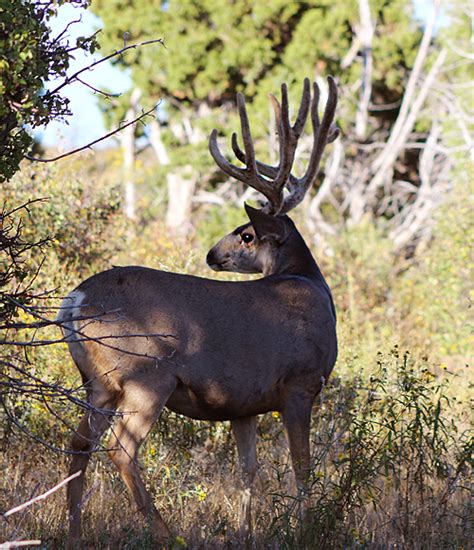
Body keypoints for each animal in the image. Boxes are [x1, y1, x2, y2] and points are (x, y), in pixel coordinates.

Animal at [57, 76, 338, 548]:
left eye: (245, 234)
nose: (210, 254)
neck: (308, 285)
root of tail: (74, 300)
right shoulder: (299, 385)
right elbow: (302, 468)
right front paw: (308, 529)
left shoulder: (243, 404)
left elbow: (248, 470)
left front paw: (245, 532)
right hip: (146, 375)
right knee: (120, 449)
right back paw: (166, 533)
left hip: (97, 383)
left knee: (79, 443)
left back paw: (74, 532)